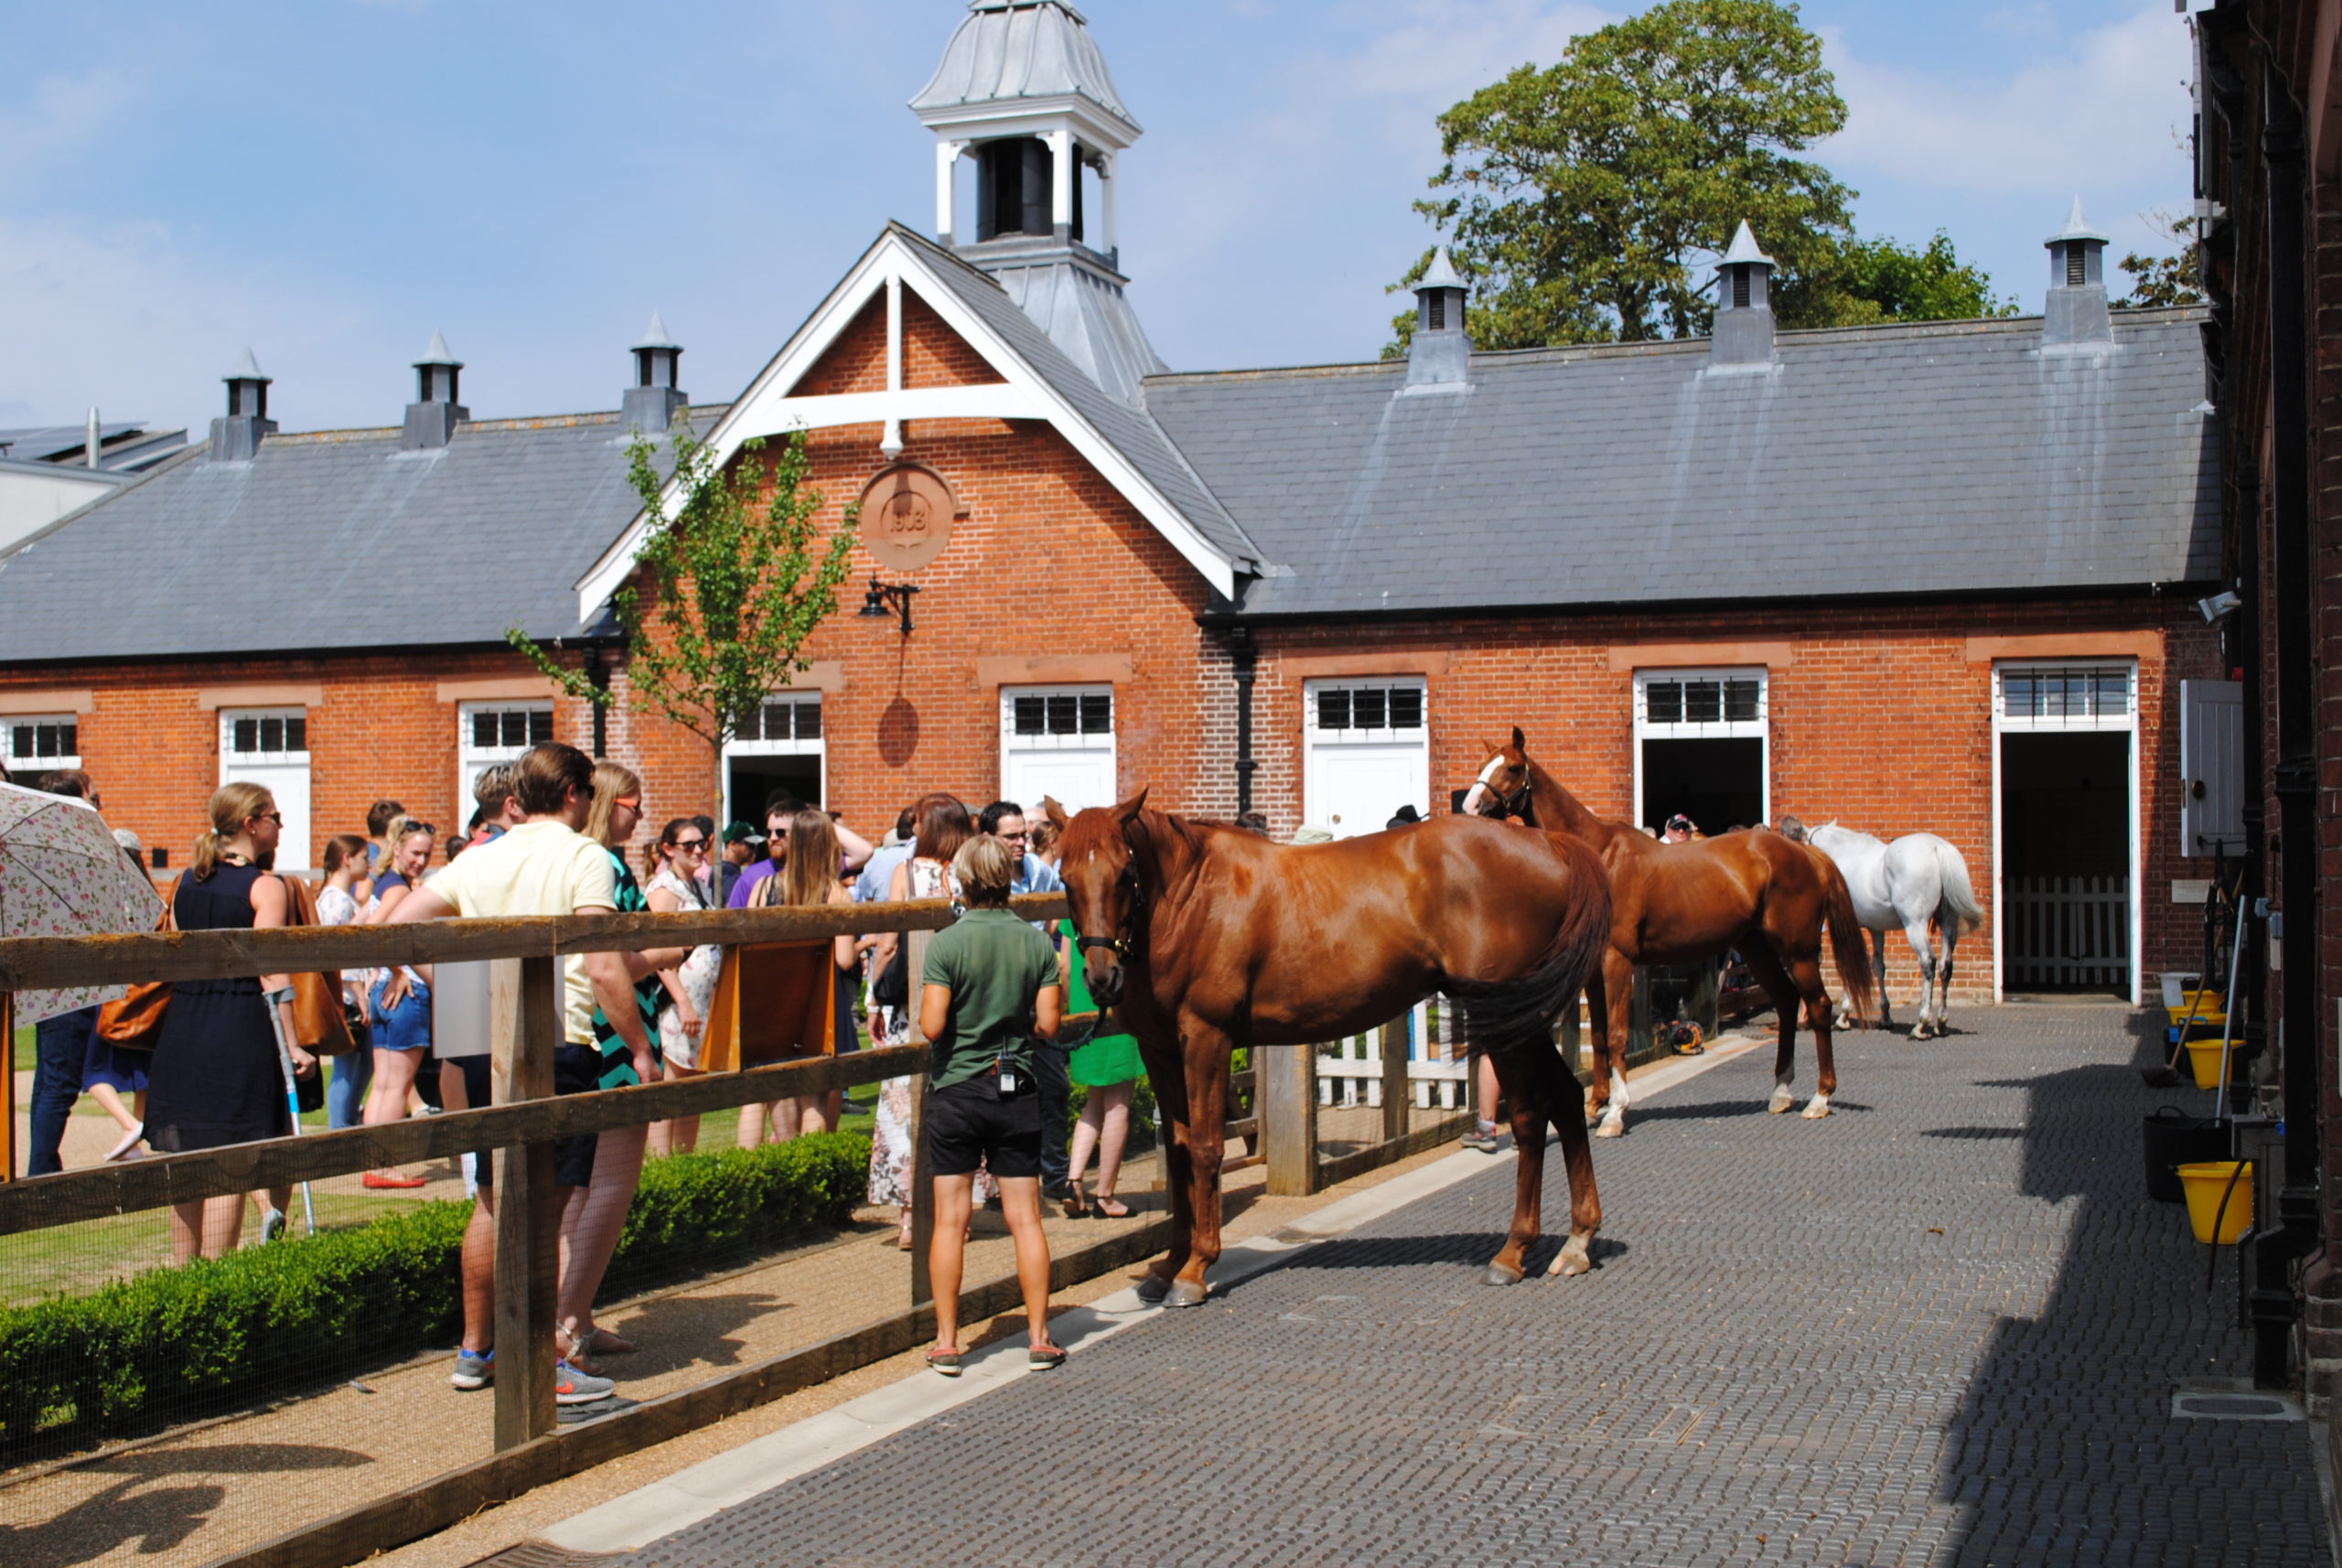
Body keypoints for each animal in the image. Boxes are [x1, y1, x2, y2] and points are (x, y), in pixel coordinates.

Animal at [1054, 790, 1620, 1310]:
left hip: (1507, 1021)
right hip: (1524, 1021)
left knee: (1529, 1115)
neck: (1191, 900)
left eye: (1125, 873)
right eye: (1065, 877)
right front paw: (1168, 1266)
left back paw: (1512, 1253)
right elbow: (1177, 1151)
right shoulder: (1162, 1052)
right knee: (1566, 1098)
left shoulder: (1207, 1039)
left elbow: (1207, 1147)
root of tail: (1549, 844)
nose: (1102, 979)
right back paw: (1576, 1241)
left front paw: (1195, 1270)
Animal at [1461, 730, 1864, 1137]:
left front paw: (1616, 1113)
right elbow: (1600, 1036)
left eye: (1513, 768)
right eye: (1483, 765)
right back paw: (1780, 1093)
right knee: (1786, 1001)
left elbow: (1618, 1034)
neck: (1600, 856)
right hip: (1757, 948)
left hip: (1798, 950)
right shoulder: (1593, 970)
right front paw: (1594, 1106)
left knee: (1818, 1006)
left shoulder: (1618, 960)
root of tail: (1807, 855)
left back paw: (1820, 1099)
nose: (1470, 806)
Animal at [1808, 823, 1976, 1043]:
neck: (1844, 855)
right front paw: (1885, 1017)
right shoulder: (1877, 929)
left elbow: (1850, 966)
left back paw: (1921, 1026)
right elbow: (1879, 967)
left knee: (1928, 962)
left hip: (1916, 925)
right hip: (1948, 924)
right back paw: (1941, 1023)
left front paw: (1843, 1017)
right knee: (1945, 966)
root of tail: (1937, 848)